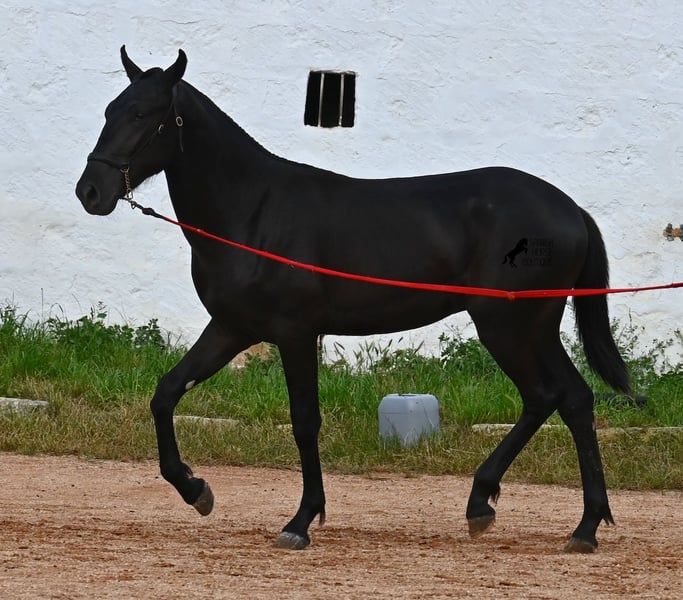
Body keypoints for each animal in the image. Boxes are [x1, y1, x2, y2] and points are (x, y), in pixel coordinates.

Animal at [76, 47, 630, 553]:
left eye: (144, 114)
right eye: (108, 110)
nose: (91, 191)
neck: (253, 211)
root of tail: (572, 211)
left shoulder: (295, 332)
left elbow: (305, 421)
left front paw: (300, 521)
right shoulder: (232, 328)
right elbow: (166, 392)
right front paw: (196, 490)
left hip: (509, 325)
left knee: (547, 396)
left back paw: (508, 509)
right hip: (533, 328)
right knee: (571, 399)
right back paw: (576, 524)